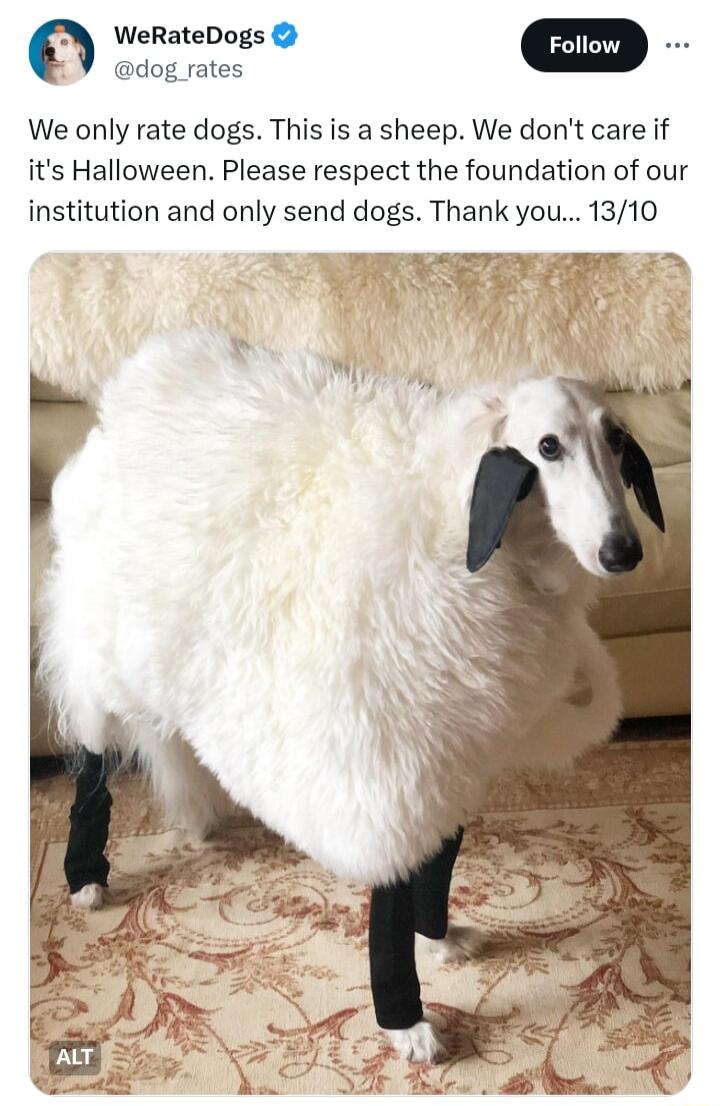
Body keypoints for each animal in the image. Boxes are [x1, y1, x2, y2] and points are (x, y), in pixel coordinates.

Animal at [38, 329, 664, 1062]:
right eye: (547, 447)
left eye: (617, 441)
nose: (622, 551)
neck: (445, 515)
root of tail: (142, 377)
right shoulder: (383, 758)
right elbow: (393, 884)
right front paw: (404, 1020)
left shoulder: (458, 743)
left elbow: (437, 858)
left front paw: (439, 936)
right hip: (100, 647)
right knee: (93, 757)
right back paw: (86, 876)